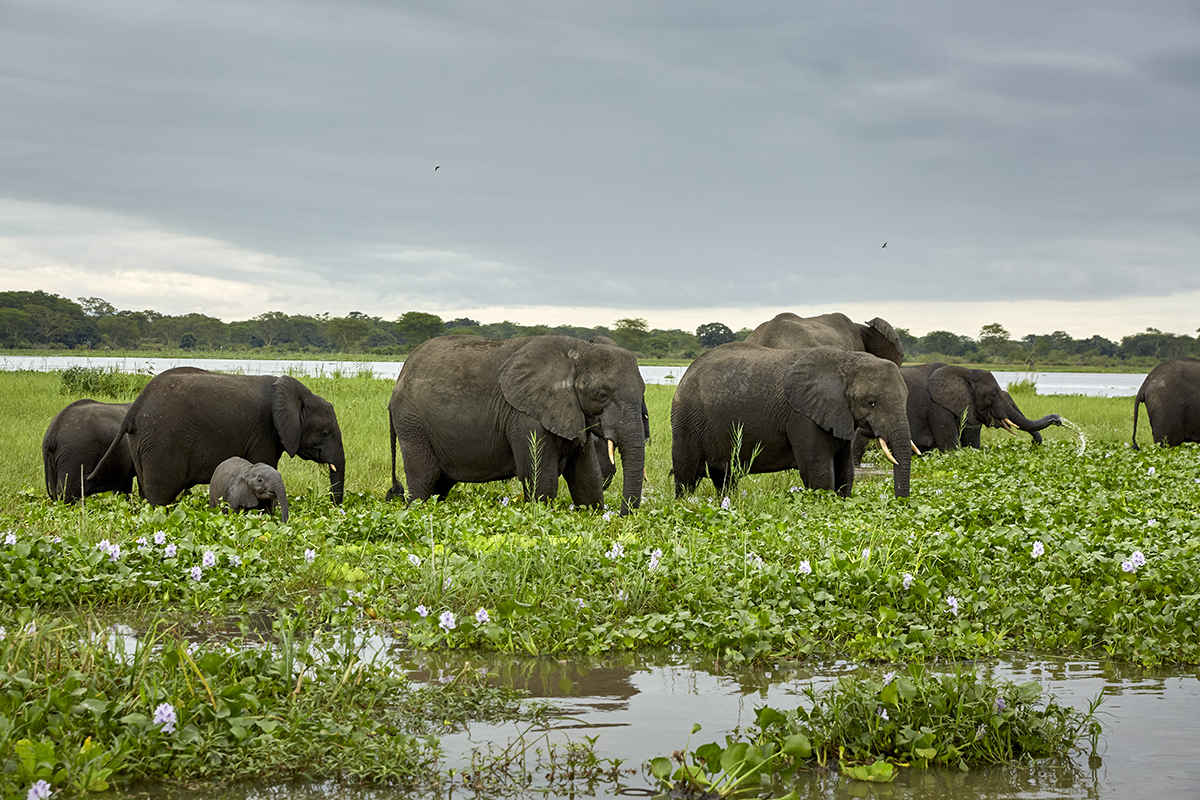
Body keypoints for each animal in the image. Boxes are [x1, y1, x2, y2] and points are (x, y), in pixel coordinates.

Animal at [87, 369, 343, 506]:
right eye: (326, 432)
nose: (335, 509)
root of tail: (133, 411)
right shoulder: (265, 433)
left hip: (142, 443)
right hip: (161, 444)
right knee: (160, 497)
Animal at [384, 335, 648, 515]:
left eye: (643, 391)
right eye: (601, 394)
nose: (623, 517)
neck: (580, 350)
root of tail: (400, 376)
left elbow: (587, 479)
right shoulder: (525, 416)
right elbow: (542, 481)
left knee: (440, 485)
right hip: (412, 424)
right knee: (424, 481)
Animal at [672, 345, 912, 501]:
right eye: (871, 402)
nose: (901, 505)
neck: (847, 361)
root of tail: (687, 372)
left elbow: (845, 472)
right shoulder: (803, 417)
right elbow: (818, 473)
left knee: (724, 478)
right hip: (687, 420)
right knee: (686, 476)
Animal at [902, 362, 1060, 453]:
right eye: (993, 395)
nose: (1057, 419)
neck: (967, 372)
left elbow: (972, 444)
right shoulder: (937, 408)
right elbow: (950, 447)